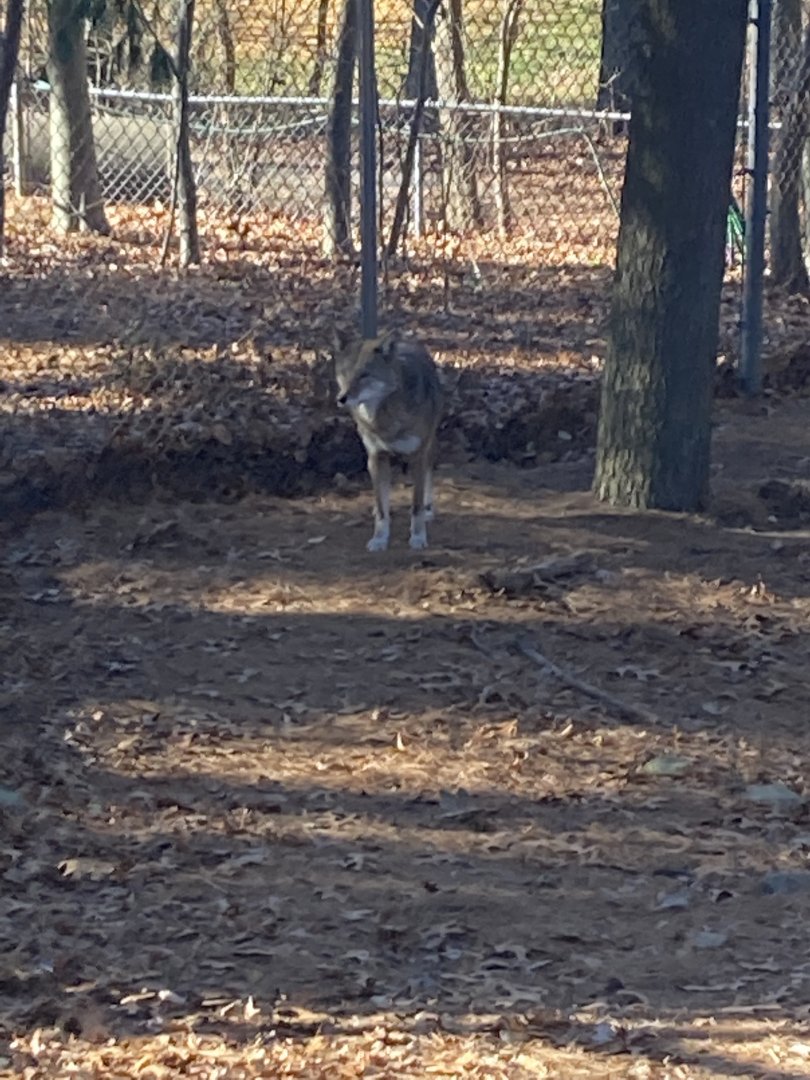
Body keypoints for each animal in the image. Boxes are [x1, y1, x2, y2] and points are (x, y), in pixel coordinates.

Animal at [334, 330, 443, 552]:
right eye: (345, 373)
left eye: (364, 375)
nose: (341, 398)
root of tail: (406, 340)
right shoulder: (376, 457)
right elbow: (383, 509)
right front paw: (379, 539)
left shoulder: (417, 457)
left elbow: (416, 505)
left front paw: (418, 537)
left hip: (428, 449)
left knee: (429, 477)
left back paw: (429, 510)